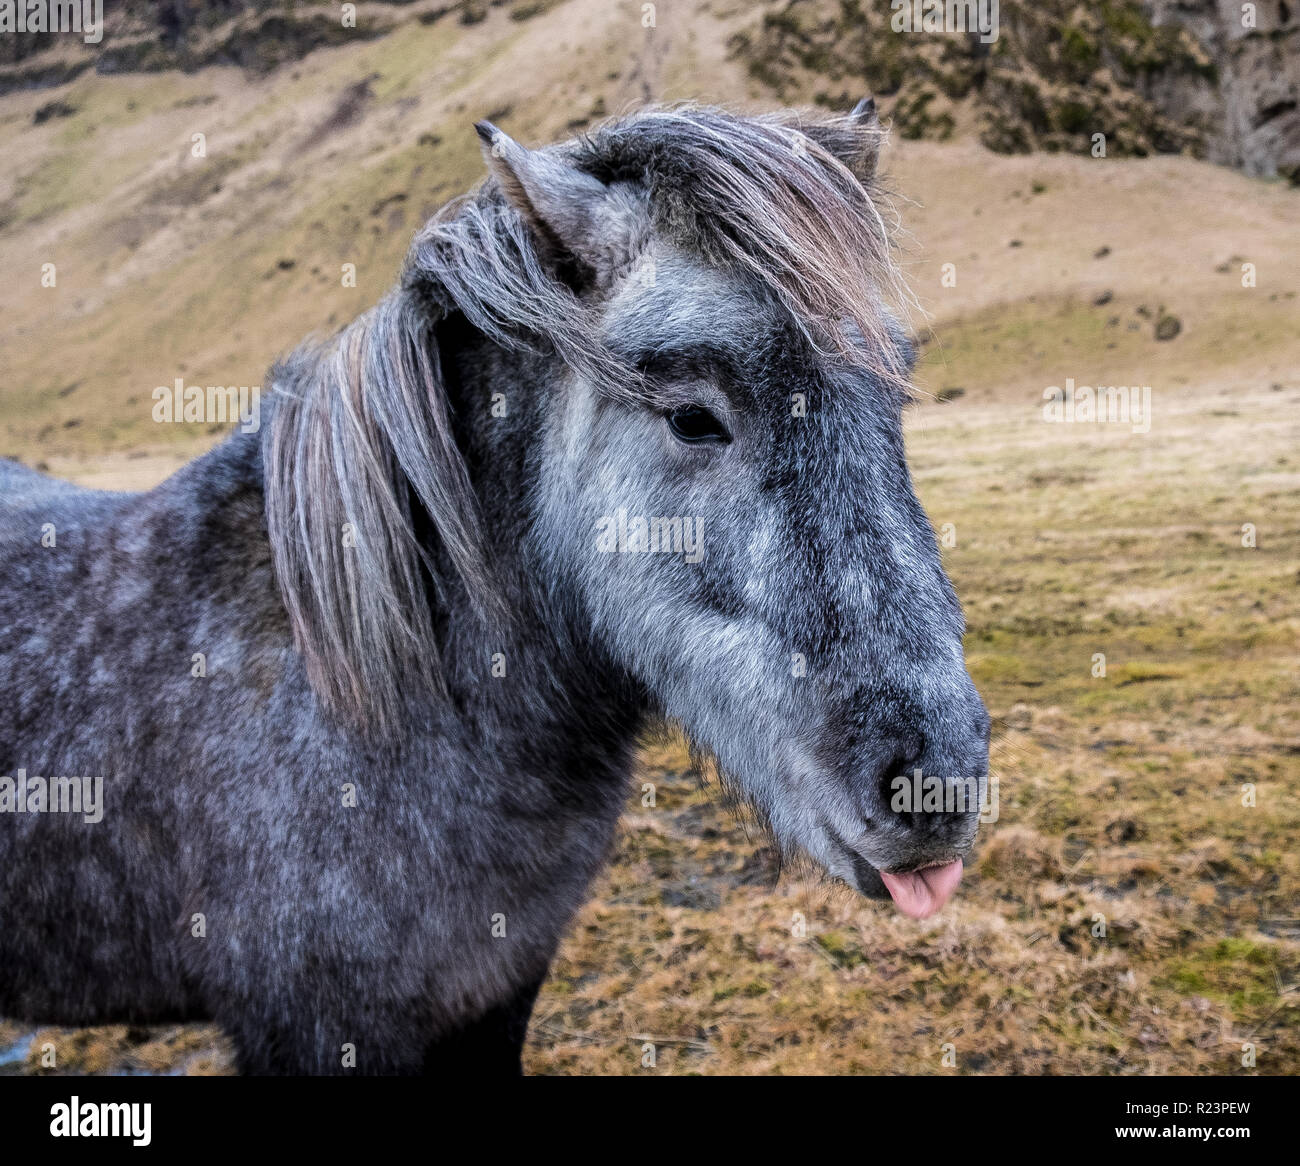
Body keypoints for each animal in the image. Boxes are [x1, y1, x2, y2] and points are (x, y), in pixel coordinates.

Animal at [0, 102, 987, 1071]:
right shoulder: (316, 1028)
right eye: (692, 418)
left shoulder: (498, 992)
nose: (934, 784)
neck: (365, 691)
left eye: (893, 394)